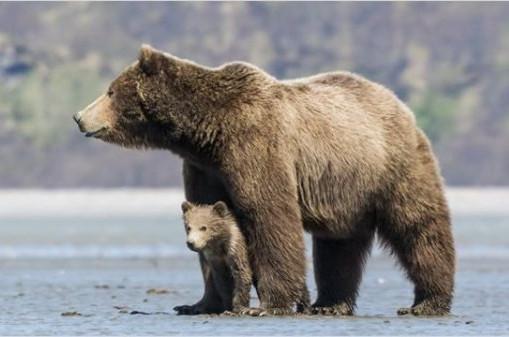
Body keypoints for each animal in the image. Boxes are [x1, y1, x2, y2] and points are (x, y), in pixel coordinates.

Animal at [74, 44, 452, 316]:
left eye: (110, 91)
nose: (79, 116)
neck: (206, 133)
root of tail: (399, 103)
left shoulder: (256, 147)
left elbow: (270, 217)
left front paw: (269, 304)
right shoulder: (205, 167)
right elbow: (206, 214)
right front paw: (198, 303)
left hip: (391, 167)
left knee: (419, 227)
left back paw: (427, 302)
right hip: (344, 190)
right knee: (338, 245)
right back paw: (329, 304)